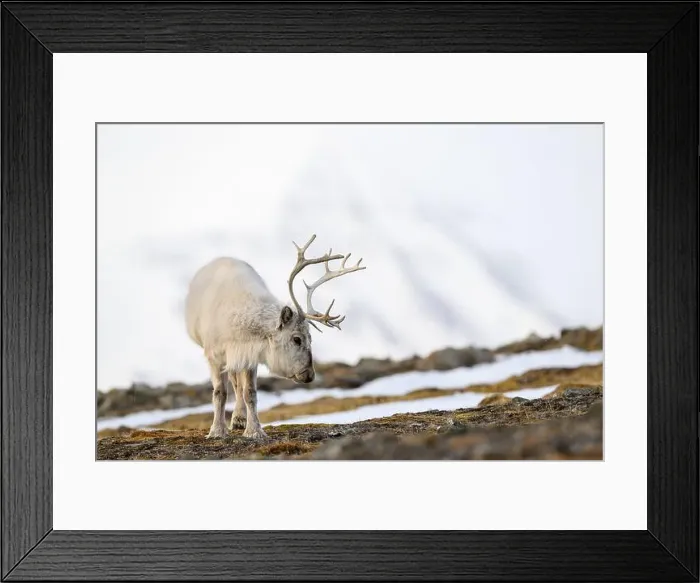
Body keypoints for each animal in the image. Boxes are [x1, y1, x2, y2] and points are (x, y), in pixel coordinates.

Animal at [185, 234, 365, 439]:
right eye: (296, 339)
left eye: (311, 338)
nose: (310, 375)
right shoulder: (214, 356)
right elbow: (219, 393)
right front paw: (217, 431)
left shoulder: (250, 356)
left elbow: (250, 392)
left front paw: (254, 431)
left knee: (238, 385)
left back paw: (239, 419)